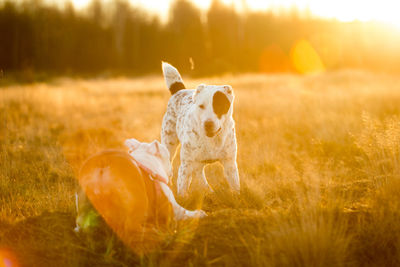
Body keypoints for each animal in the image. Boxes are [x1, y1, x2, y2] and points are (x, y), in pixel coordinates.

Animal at [160, 62, 241, 197]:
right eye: (201, 106)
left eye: (219, 106)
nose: (208, 124)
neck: (212, 139)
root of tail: (180, 90)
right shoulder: (186, 165)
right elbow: (182, 187)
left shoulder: (230, 163)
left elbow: (235, 186)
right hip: (169, 145)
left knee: (198, 173)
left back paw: (209, 190)